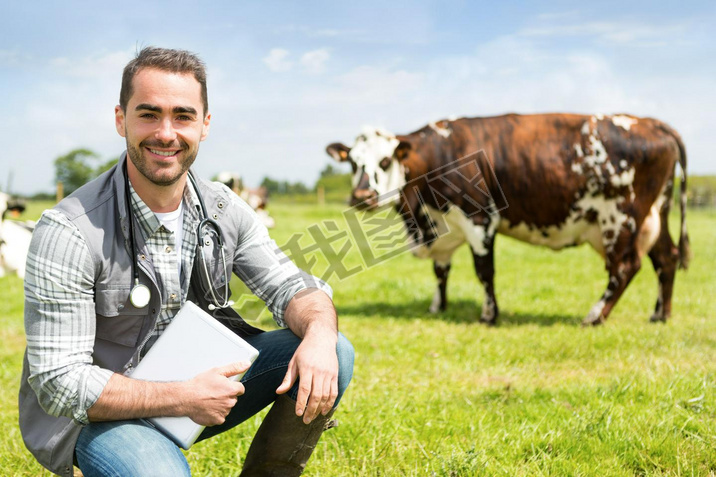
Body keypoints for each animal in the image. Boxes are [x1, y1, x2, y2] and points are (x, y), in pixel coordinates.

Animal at [328, 113, 692, 326]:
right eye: (352, 163)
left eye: (385, 161)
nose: (361, 196)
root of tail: (650, 122)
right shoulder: (445, 226)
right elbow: (441, 271)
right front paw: (437, 306)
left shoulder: (479, 218)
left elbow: (484, 271)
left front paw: (489, 315)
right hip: (655, 215)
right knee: (666, 258)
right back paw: (660, 314)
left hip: (620, 217)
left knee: (626, 266)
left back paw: (594, 315)